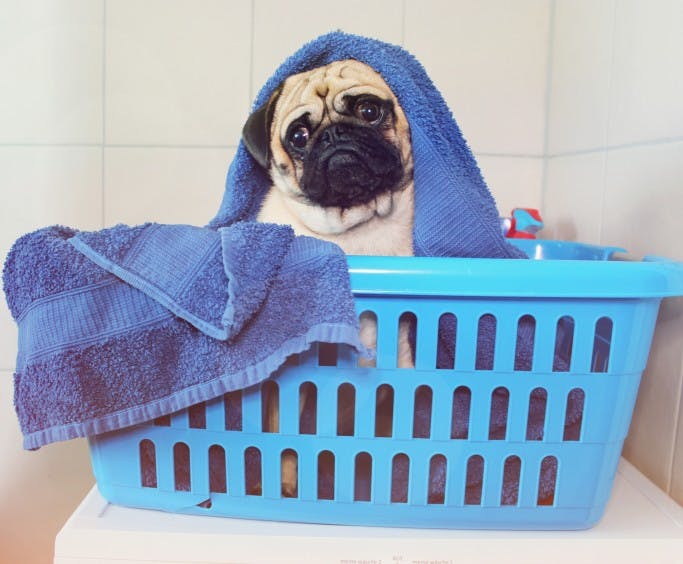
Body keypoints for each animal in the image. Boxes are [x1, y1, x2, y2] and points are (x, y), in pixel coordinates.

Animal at [243, 59, 414, 496]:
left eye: (369, 111)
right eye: (299, 136)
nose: (335, 135)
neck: (354, 230)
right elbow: (285, 441)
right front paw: (285, 484)